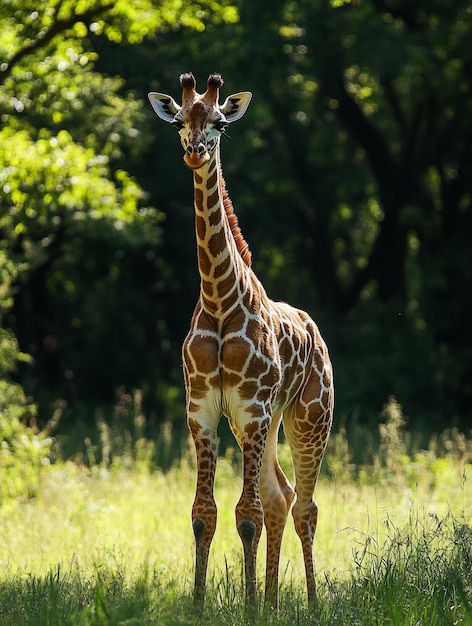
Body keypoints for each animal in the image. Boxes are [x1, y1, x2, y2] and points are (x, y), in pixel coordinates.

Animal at [149, 73, 334, 608]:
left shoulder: (251, 408)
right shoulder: (204, 410)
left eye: (220, 123)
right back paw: (274, 601)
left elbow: (245, 516)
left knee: (305, 505)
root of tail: (317, 333)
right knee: (281, 496)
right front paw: (198, 604)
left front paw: (248, 606)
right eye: (179, 121)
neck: (218, 297)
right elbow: (203, 514)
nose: (195, 151)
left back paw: (310, 603)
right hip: (266, 424)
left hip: (308, 417)